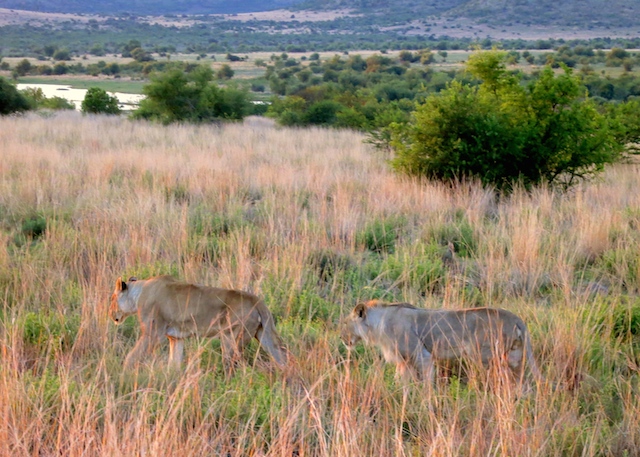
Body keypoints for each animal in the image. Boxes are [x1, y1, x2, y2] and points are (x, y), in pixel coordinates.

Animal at [110, 274, 288, 370]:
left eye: (112, 299)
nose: (110, 314)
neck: (139, 293)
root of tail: (257, 300)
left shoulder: (153, 335)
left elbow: (132, 357)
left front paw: (124, 373)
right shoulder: (176, 338)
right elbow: (173, 363)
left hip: (231, 337)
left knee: (234, 367)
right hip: (264, 335)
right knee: (282, 356)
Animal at [340, 302, 540, 386]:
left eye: (345, 323)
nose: (341, 338)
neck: (377, 325)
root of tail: (516, 317)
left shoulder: (422, 356)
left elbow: (426, 382)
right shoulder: (404, 362)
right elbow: (400, 381)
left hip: (485, 356)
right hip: (514, 355)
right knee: (521, 380)